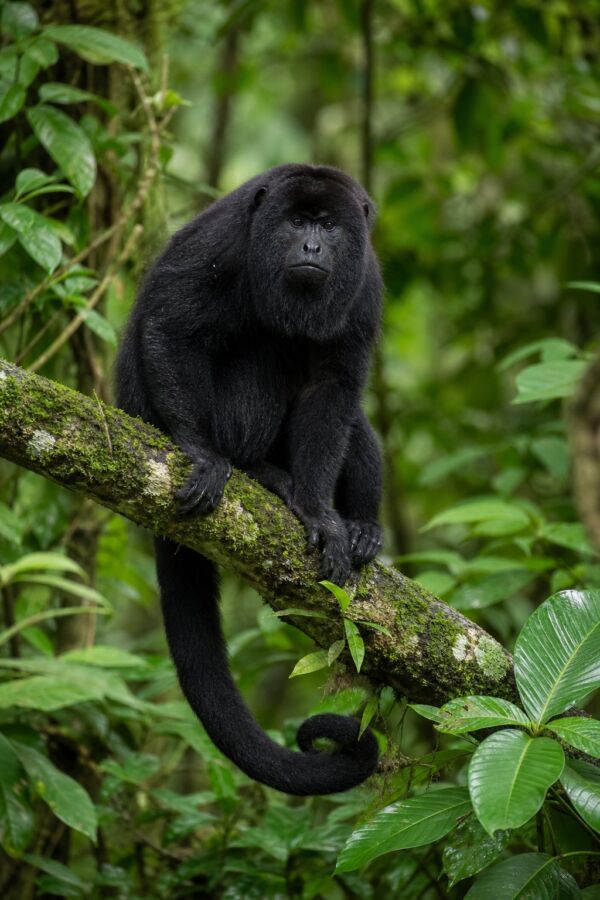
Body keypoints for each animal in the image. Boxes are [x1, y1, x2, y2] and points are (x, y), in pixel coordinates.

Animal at [116, 164, 384, 795]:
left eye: (328, 227)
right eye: (296, 222)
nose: (310, 247)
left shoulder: (364, 283)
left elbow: (335, 385)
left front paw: (319, 512)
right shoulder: (228, 243)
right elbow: (170, 323)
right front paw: (201, 453)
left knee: (353, 420)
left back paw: (361, 527)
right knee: (267, 348)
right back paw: (253, 470)